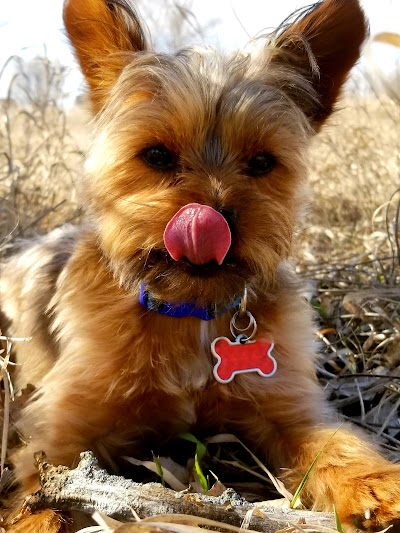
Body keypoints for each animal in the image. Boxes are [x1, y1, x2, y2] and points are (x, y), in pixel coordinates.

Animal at [0, 0, 400, 528]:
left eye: (262, 162)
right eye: (156, 155)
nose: (213, 220)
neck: (188, 309)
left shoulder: (287, 406)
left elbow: (333, 441)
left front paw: (377, 484)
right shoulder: (59, 439)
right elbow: (43, 495)